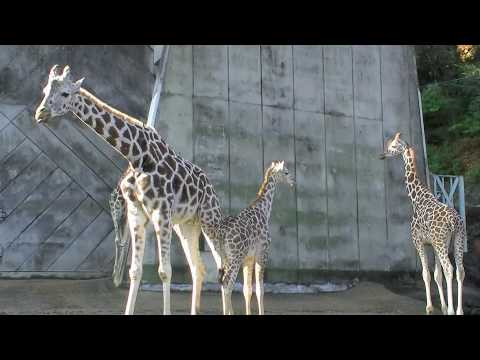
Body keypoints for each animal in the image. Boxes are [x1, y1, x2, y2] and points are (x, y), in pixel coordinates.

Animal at [33, 65, 225, 316]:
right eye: (45, 90)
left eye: (65, 93)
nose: (40, 113)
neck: (137, 155)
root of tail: (211, 186)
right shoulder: (136, 211)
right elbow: (135, 271)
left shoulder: (161, 212)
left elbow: (165, 271)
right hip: (186, 224)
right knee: (198, 268)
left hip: (209, 219)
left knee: (223, 266)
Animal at [217, 161, 292, 316]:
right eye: (286, 172)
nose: (293, 182)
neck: (264, 209)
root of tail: (222, 233)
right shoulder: (262, 253)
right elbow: (259, 289)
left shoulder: (249, 258)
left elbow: (247, 290)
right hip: (235, 258)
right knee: (227, 283)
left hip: (226, 257)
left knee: (224, 284)